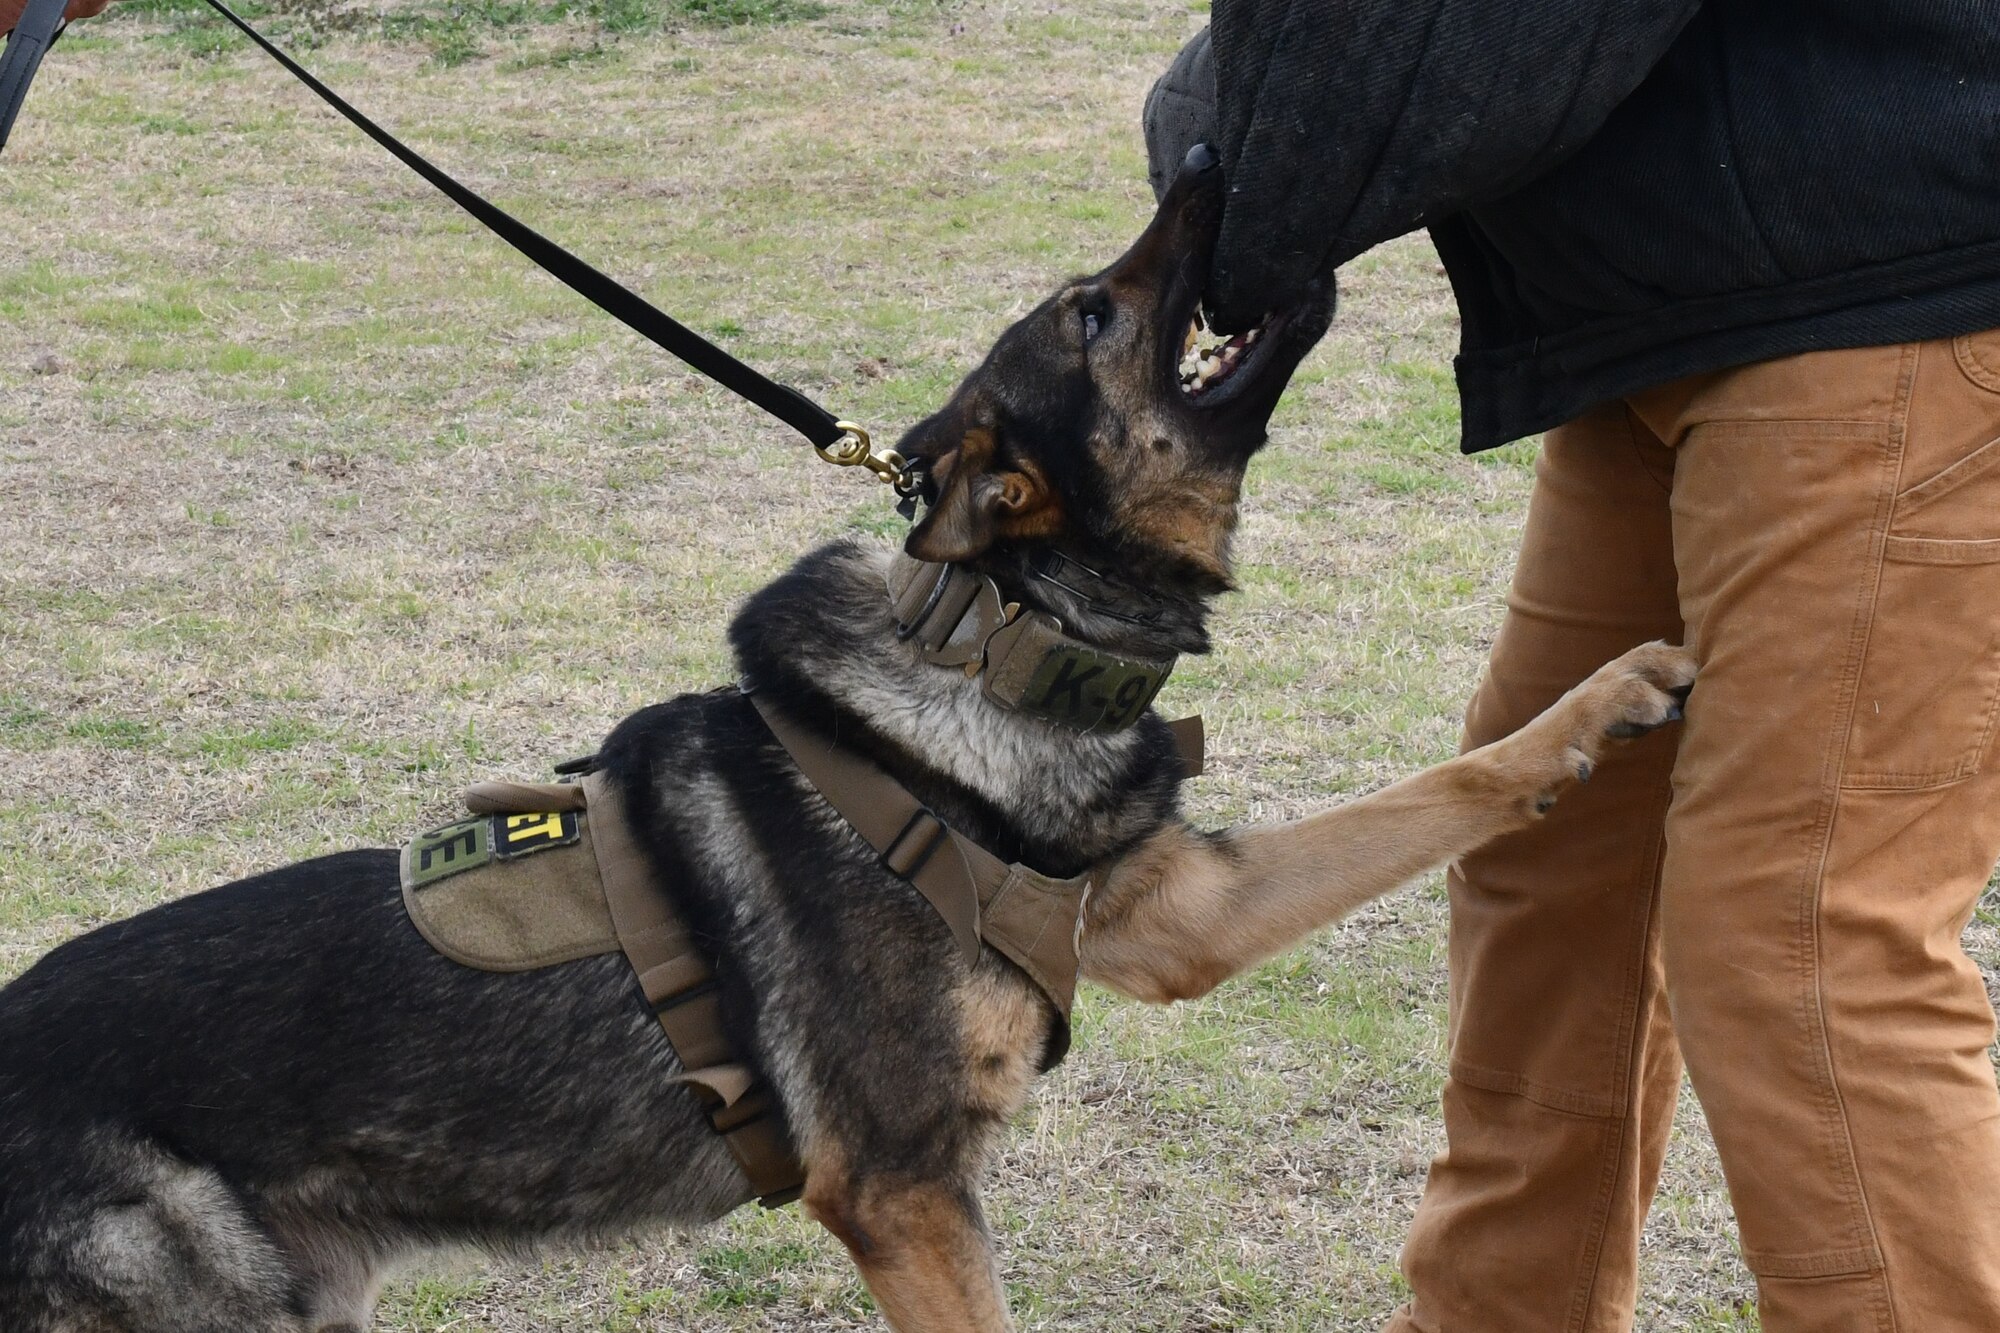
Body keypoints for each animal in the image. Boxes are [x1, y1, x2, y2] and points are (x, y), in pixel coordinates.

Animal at [0, 150, 1696, 1320]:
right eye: (1097, 309)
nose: (1209, 158)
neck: (990, 650)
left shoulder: (1186, 918)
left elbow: (1453, 780)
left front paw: (1617, 691)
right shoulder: (901, 1196)